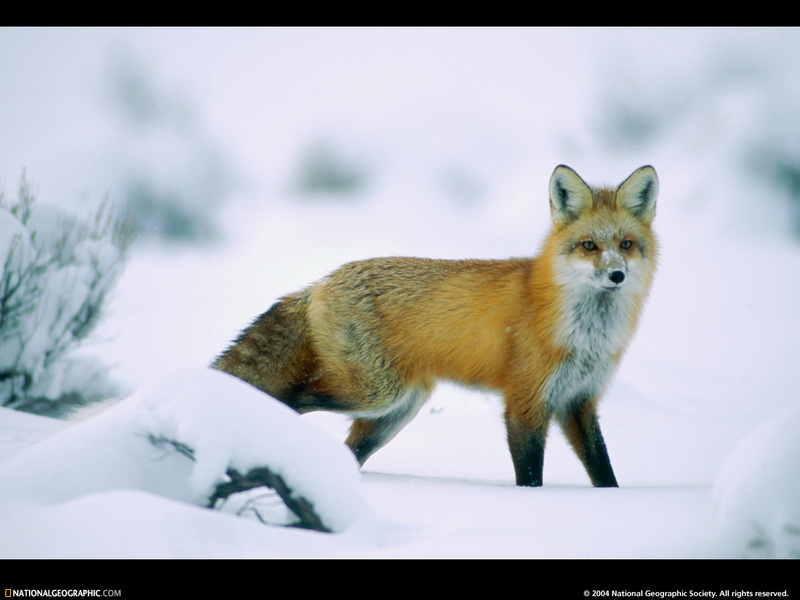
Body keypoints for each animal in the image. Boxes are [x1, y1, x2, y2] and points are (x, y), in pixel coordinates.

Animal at [213, 164, 658, 487]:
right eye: (589, 246)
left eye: (626, 245)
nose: (616, 275)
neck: (586, 336)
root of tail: (320, 282)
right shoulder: (524, 402)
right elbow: (530, 476)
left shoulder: (579, 401)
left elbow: (605, 473)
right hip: (374, 392)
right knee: (292, 398)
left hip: (394, 411)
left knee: (346, 448)